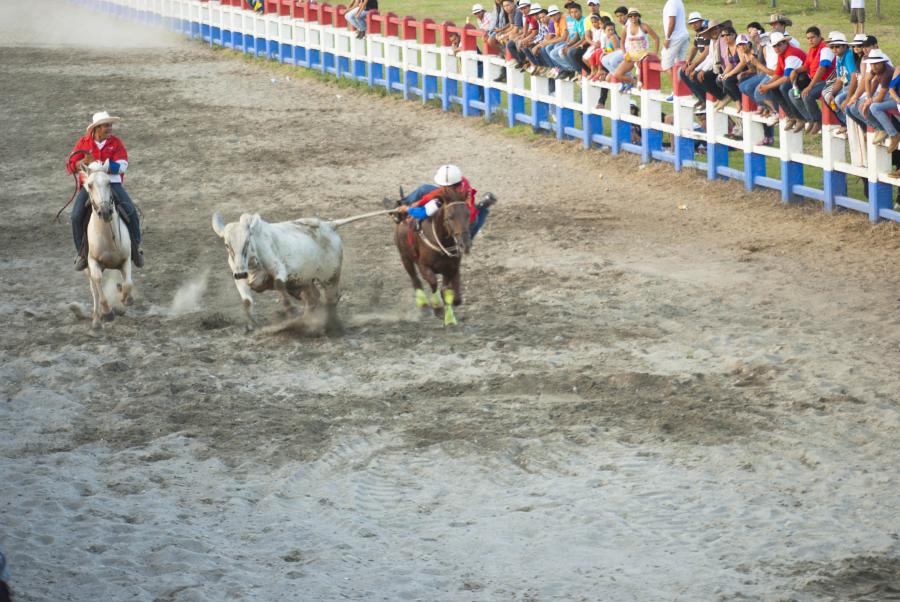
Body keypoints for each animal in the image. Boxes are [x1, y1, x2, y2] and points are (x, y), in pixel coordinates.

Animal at [81, 161, 133, 328]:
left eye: (109, 182)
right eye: (89, 185)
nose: (105, 212)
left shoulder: (126, 259)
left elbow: (128, 284)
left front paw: (124, 300)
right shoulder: (92, 261)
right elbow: (98, 281)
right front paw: (107, 312)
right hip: (87, 269)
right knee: (94, 290)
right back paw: (97, 320)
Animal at [398, 190, 474, 326]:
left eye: (468, 214)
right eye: (450, 217)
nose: (465, 244)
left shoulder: (452, 268)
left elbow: (452, 295)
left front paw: (450, 319)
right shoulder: (423, 266)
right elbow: (433, 282)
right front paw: (438, 308)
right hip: (405, 257)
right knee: (415, 280)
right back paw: (423, 305)